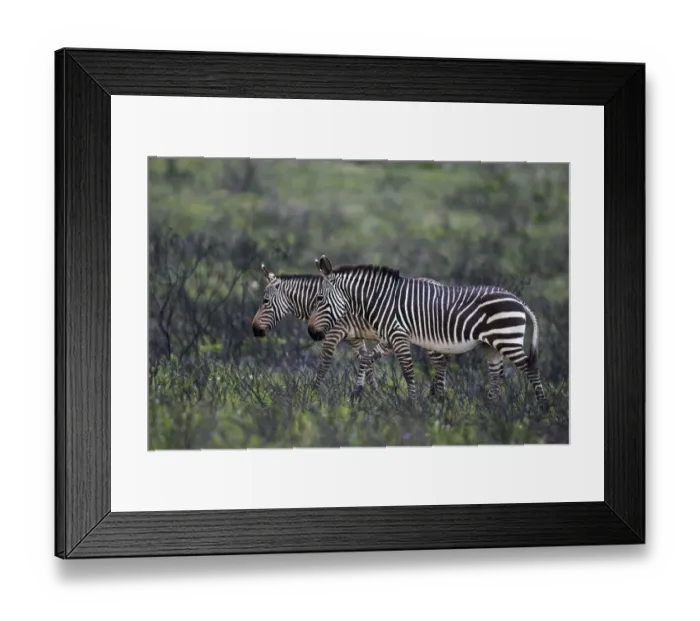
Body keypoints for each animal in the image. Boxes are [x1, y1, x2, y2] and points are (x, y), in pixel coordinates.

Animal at [251, 263, 448, 395]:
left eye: (265, 301)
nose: (254, 330)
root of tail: (441, 285)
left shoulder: (333, 333)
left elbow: (324, 365)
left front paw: (312, 395)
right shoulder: (354, 338)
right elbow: (366, 363)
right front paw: (373, 394)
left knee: (440, 364)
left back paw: (438, 397)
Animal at [307, 255, 548, 410]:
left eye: (319, 298)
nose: (311, 333)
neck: (381, 300)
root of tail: (518, 300)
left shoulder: (399, 336)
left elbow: (408, 371)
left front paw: (412, 405)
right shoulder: (388, 339)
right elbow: (366, 359)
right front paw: (356, 392)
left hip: (507, 340)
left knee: (531, 369)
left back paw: (543, 408)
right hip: (492, 345)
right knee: (496, 376)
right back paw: (491, 410)